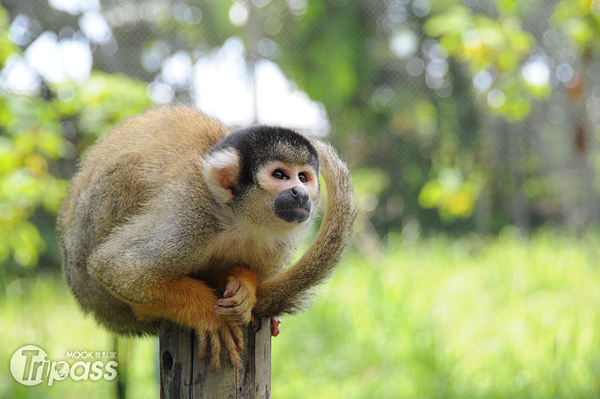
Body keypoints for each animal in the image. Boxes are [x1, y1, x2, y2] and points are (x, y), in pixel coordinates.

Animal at [58, 104, 354, 370]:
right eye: (280, 175)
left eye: (303, 178)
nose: (300, 193)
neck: (237, 219)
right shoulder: (190, 215)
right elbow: (116, 268)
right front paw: (207, 313)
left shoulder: (280, 240)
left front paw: (245, 285)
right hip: (96, 286)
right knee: (125, 167)